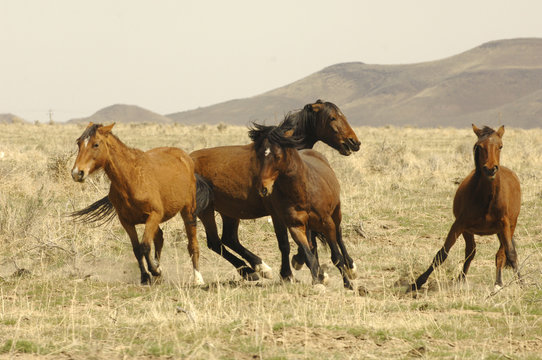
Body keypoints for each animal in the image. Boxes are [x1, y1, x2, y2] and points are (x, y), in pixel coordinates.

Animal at [68, 122, 212, 286]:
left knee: (192, 244)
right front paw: (146, 276)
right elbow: (137, 249)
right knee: (160, 238)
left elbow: (145, 246)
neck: (131, 178)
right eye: (79, 143)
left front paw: (154, 271)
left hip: (188, 211)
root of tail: (186, 158)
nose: (77, 173)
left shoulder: (154, 215)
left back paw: (197, 278)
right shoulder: (127, 222)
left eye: (96, 144)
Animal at [248, 124, 356, 290]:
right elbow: (309, 255)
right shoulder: (296, 227)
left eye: (277, 156)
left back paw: (351, 268)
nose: (262, 188)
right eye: (259, 155)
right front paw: (317, 281)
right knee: (313, 246)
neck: (302, 192)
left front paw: (348, 284)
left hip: (336, 213)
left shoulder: (327, 223)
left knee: (339, 237)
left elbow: (336, 257)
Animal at [412, 125, 524, 294]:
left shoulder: (505, 225)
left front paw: (521, 283)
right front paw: (418, 282)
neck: (487, 199)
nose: (490, 169)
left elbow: (510, 254)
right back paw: (461, 279)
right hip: (469, 231)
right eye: (479, 146)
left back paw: (497, 283)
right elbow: (442, 253)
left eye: (500, 146)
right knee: (471, 252)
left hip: (509, 227)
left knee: (500, 254)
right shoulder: (459, 224)